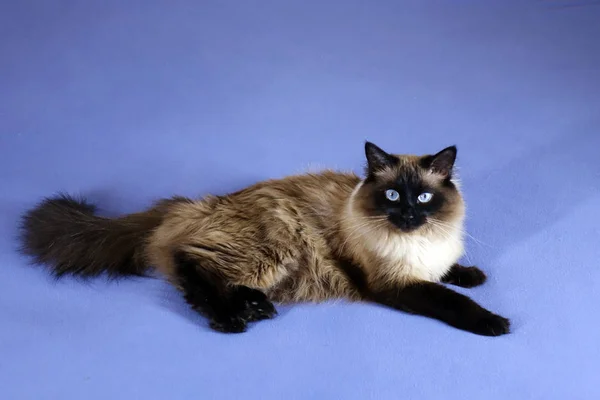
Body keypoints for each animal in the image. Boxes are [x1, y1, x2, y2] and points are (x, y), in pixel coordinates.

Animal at [18, 142, 510, 336]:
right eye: (392, 195)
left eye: (424, 197)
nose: (407, 215)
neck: (414, 242)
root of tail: (194, 204)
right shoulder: (395, 283)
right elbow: (450, 300)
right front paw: (494, 322)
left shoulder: (430, 262)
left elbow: (452, 273)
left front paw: (473, 275)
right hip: (277, 245)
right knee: (190, 268)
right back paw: (233, 319)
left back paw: (255, 307)